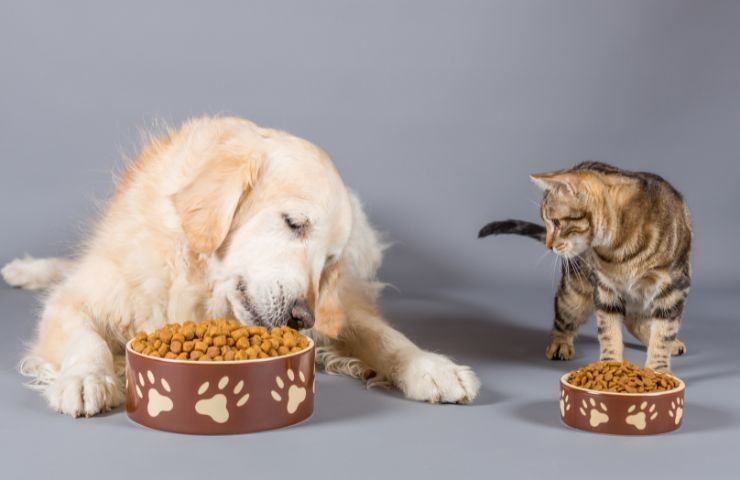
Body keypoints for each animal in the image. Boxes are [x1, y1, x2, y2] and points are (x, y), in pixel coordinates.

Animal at [1, 117, 480, 416]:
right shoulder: (78, 300)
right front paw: (87, 378)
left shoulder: (341, 305)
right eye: (294, 222)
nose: (303, 318)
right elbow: (86, 339)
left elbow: (385, 337)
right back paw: (25, 270)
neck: (199, 283)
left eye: (329, 261)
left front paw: (433, 368)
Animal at [482, 161, 692, 372]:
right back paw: (559, 343)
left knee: (637, 320)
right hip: (574, 290)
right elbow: (609, 333)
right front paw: (610, 366)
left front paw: (657, 371)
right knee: (564, 315)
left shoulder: (673, 287)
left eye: (556, 222)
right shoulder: (605, 288)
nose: (549, 245)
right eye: (548, 223)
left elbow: (663, 334)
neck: (620, 248)